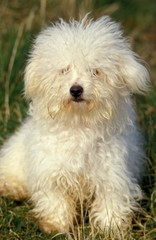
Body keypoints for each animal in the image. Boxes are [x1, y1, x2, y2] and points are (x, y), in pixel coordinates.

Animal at [0, 15, 149, 235]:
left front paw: (110, 227)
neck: (79, 124)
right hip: (15, 158)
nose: (76, 90)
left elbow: (110, 200)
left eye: (95, 71)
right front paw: (55, 225)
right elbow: (55, 200)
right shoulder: (51, 171)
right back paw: (12, 189)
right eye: (64, 70)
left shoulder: (112, 173)